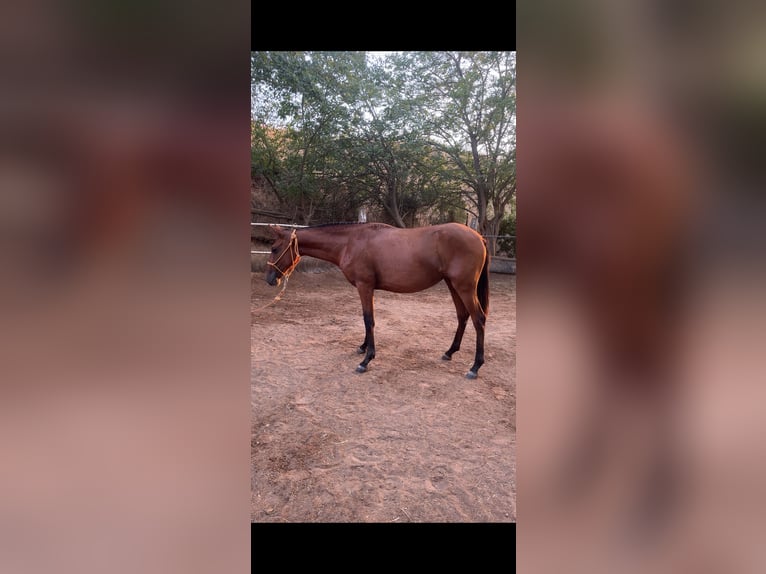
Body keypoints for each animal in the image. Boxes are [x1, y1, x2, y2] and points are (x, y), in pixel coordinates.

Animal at [264, 220, 492, 378]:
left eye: (274, 248)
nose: (270, 279)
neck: (351, 241)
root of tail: (479, 237)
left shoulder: (364, 286)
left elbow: (368, 320)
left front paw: (366, 360)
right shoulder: (367, 288)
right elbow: (367, 319)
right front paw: (363, 348)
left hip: (464, 287)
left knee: (478, 319)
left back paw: (475, 367)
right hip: (453, 285)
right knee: (462, 316)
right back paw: (450, 352)